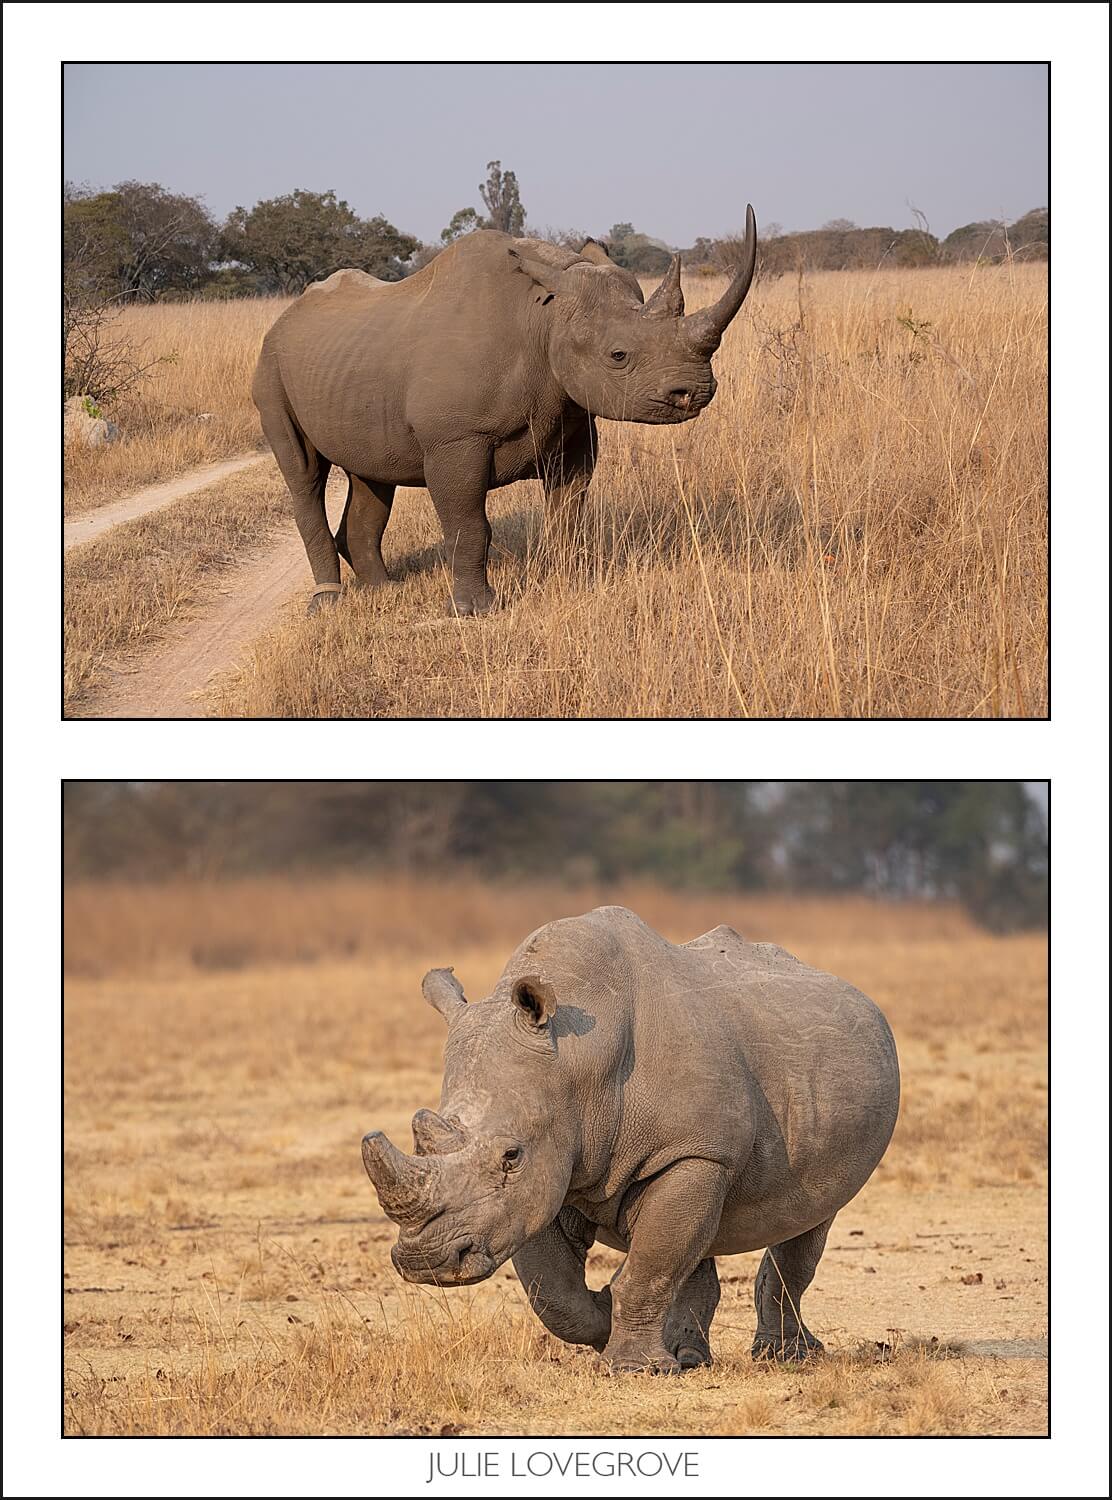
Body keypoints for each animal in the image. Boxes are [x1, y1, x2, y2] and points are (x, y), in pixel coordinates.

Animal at [252, 209, 757, 615]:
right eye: (618, 356)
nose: (696, 392)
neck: (546, 317)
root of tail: (283, 318)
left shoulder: (574, 428)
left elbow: (568, 512)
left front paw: (570, 581)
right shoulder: (455, 438)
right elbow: (469, 524)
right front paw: (473, 611)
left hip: (348, 365)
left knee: (372, 475)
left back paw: (383, 591)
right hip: (270, 363)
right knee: (304, 474)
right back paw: (327, 602)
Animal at [361, 906, 900, 1372]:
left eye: (510, 1156)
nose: (427, 1262)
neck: (577, 1063)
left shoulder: (690, 1151)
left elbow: (651, 1264)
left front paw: (636, 1368)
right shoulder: (548, 1174)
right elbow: (554, 1290)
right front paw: (607, 1321)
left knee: (809, 1219)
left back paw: (784, 1359)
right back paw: (691, 1358)